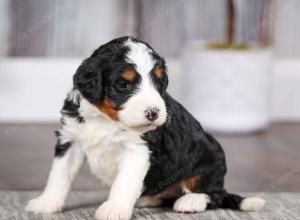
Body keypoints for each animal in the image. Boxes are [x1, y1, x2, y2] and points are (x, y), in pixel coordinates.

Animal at [25, 36, 264, 220]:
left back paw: (191, 201)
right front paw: (46, 203)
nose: (154, 113)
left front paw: (114, 208)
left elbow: (124, 183)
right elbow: (59, 176)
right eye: (124, 84)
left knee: (213, 195)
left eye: (159, 82)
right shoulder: (71, 140)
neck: (105, 119)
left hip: (210, 158)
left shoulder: (137, 151)